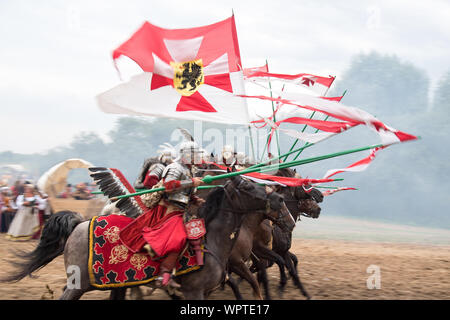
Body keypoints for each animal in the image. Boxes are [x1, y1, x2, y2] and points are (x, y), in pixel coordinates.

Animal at [0, 172, 292, 300]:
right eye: (247, 186)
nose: (278, 199)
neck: (212, 240)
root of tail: (80, 224)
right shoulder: (194, 292)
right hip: (79, 283)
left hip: (112, 283)